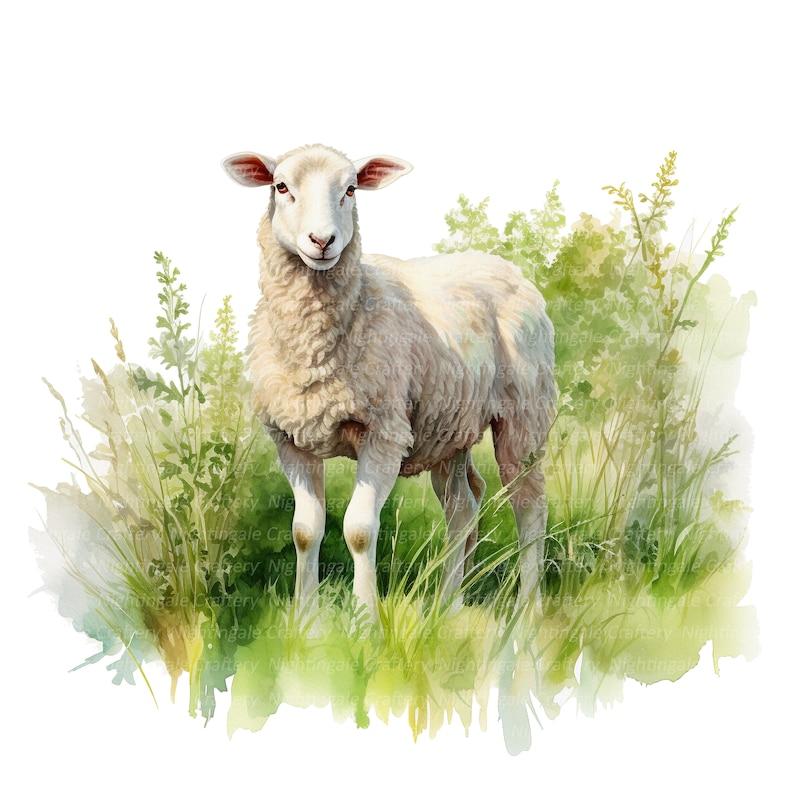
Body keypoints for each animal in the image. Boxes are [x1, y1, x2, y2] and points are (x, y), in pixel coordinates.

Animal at [222, 143, 556, 621]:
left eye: (350, 189)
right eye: (281, 186)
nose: (322, 241)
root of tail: (504, 266)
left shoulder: (383, 432)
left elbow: (359, 530)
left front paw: (364, 619)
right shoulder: (290, 438)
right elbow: (305, 530)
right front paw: (305, 621)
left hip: (523, 415)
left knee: (529, 505)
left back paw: (527, 610)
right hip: (448, 428)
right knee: (464, 507)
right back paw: (448, 605)